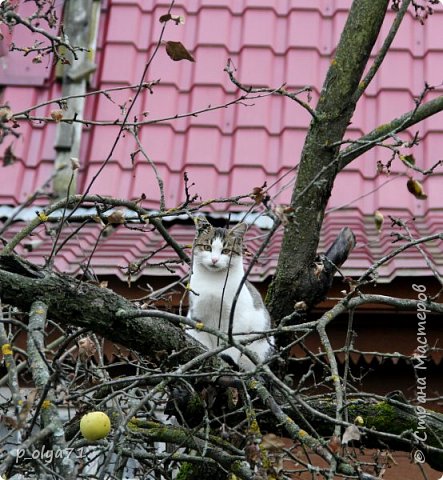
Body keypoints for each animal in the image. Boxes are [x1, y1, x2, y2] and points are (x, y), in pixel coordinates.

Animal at [185, 218, 274, 372]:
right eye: (207, 247)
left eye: (226, 251)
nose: (214, 260)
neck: (213, 282)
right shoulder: (196, 315)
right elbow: (203, 339)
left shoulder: (238, 317)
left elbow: (230, 345)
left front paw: (226, 358)